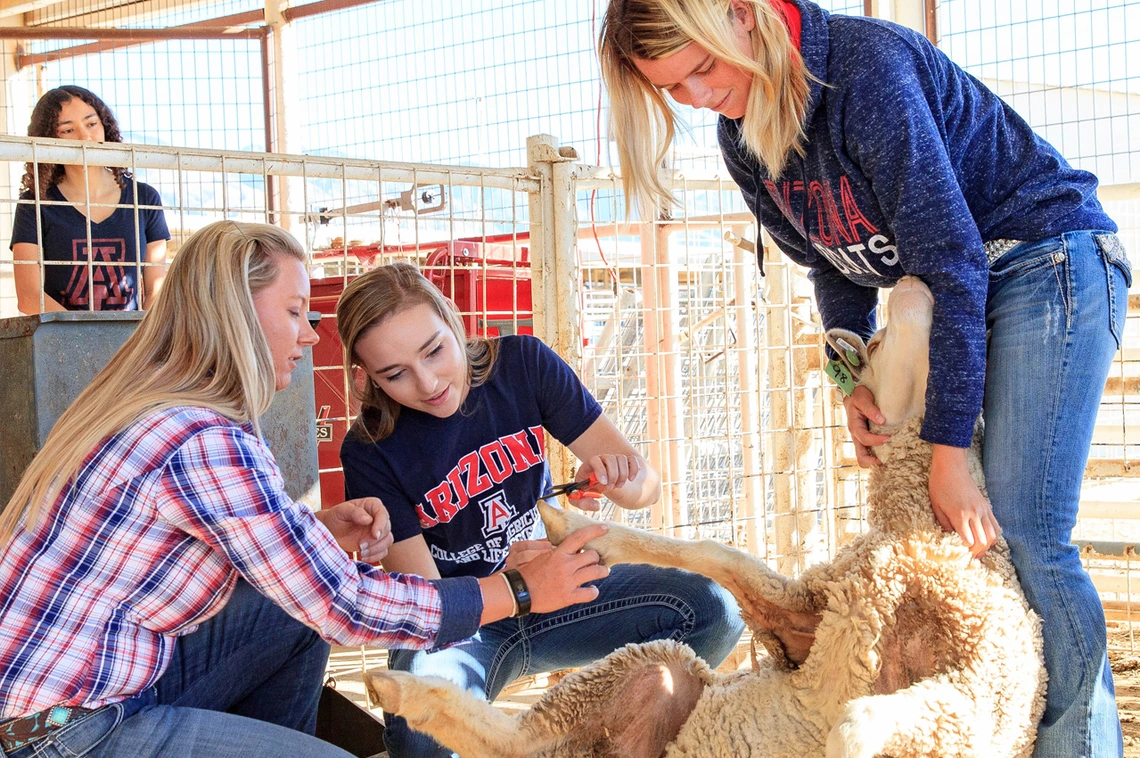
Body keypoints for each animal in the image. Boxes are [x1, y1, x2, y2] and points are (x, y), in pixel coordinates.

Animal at [364, 276, 1044, 756]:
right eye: (878, 342)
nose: (915, 280)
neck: (915, 537)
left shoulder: (982, 689)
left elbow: (874, 715)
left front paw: (841, 739)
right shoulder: (801, 618)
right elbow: (718, 555)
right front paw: (587, 534)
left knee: (511, 746)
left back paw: (401, 692)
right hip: (649, 664)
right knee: (508, 741)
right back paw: (399, 690)